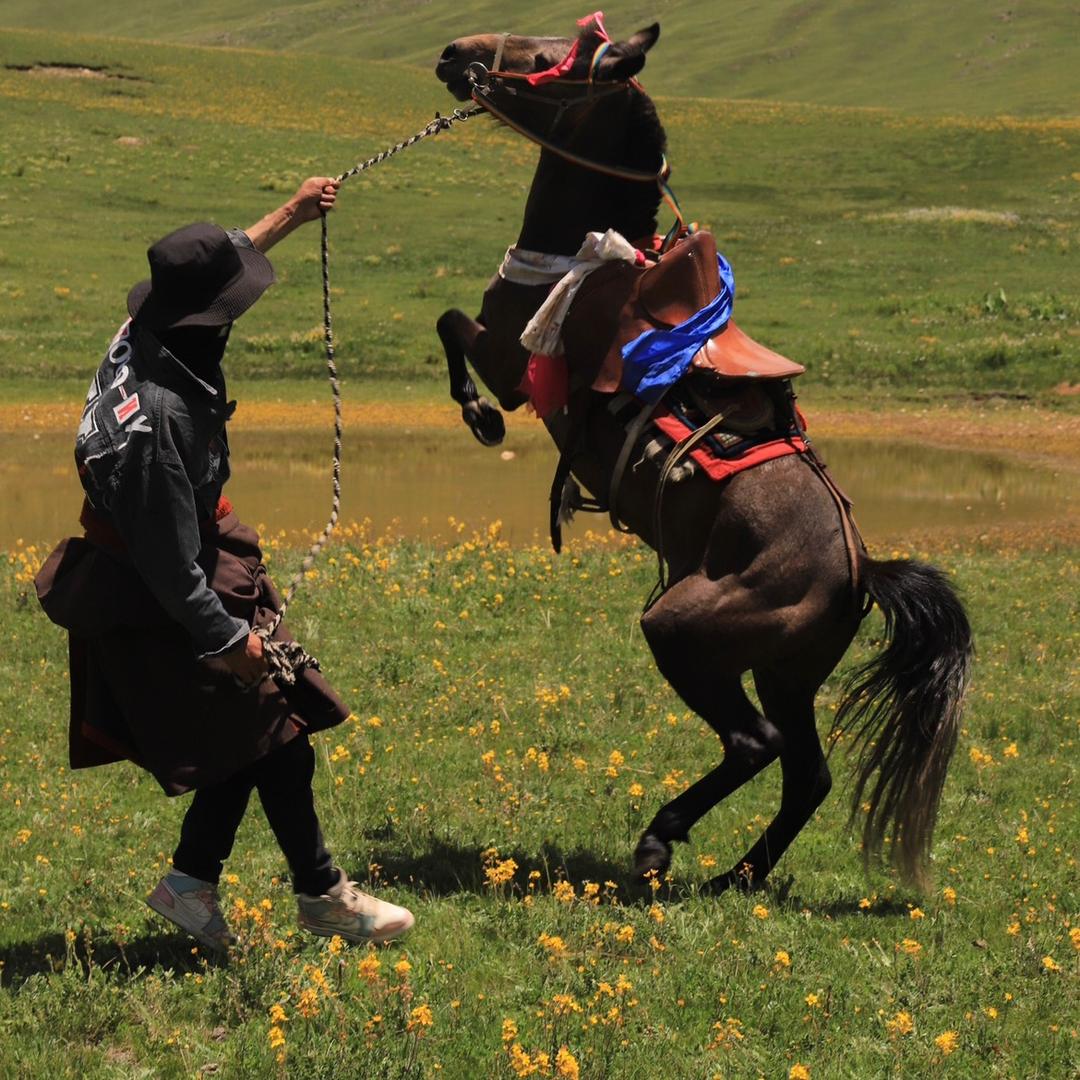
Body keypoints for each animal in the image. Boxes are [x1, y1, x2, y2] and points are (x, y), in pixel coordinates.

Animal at [433, 15, 972, 894]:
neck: (585, 258)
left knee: (757, 744)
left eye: (551, 57)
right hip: (784, 671)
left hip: (683, 632)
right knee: (806, 771)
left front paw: (478, 419)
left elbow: (451, 325)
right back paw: (737, 879)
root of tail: (862, 568)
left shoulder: (516, 365)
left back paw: (660, 842)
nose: (454, 55)